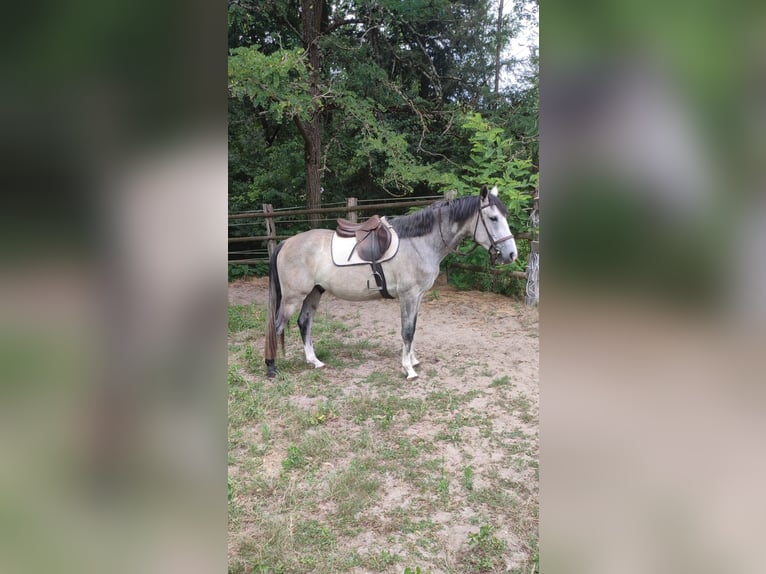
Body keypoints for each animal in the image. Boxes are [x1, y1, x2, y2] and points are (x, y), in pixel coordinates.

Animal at [266, 187, 520, 380]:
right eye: (493, 218)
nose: (511, 255)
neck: (418, 243)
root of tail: (285, 243)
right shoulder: (408, 295)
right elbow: (406, 331)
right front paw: (408, 370)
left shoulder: (418, 297)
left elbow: (413, 328)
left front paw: (413, 361)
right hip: (292, 298)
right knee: (277, 325)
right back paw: (271, 368)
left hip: (314, 293)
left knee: (304, 322)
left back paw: (314, 361)